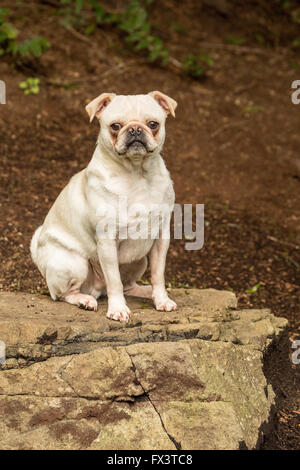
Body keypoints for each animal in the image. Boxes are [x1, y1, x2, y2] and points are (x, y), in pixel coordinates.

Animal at [31, 90, 178, 322]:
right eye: (115, 126)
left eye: (153, 124)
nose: (135, 129)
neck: (137, 174)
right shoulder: (107, 242)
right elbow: (114, 280)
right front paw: (118, 309)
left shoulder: (160, 238)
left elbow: (158, 275)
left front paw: (161, 299)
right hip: (75, 264)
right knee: (62, 294)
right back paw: (84, 300)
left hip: (139, 261)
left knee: (129, 285)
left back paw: (147, 292)